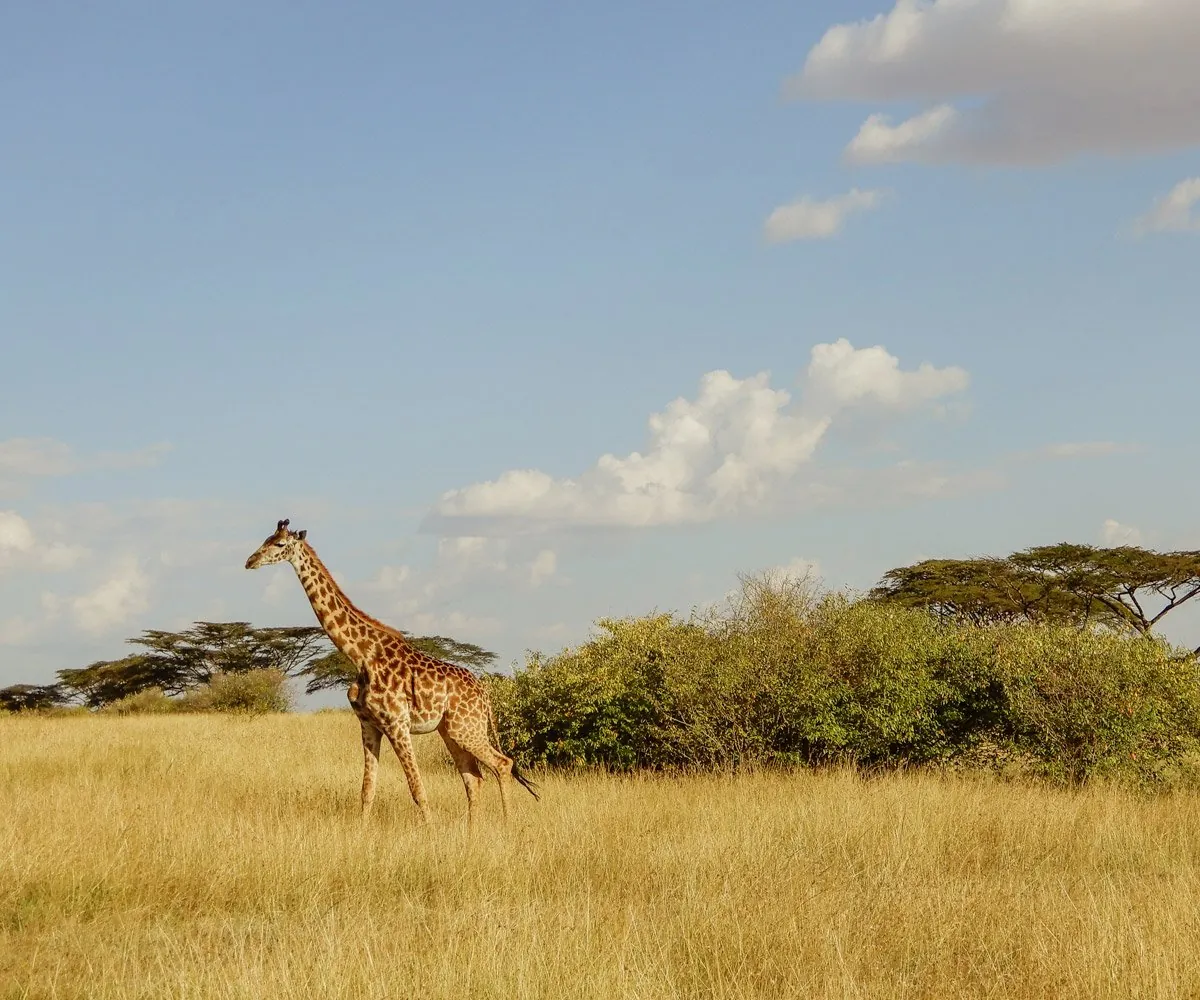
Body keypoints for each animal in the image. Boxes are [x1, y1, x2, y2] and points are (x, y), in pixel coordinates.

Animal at [244, 519, 538, 825]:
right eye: (265, 539)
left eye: (279, 544)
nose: (250, 561)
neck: (360, 655)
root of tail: (484, 693)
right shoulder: (369, 724)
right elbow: (367, 790)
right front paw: (361, 831)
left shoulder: (397, 724)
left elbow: (417, 788)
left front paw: (430, 831)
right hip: (451, 730)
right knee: (474, 778)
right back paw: (472, 831)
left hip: (466, 728)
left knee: (502, 764)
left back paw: (507, 824)